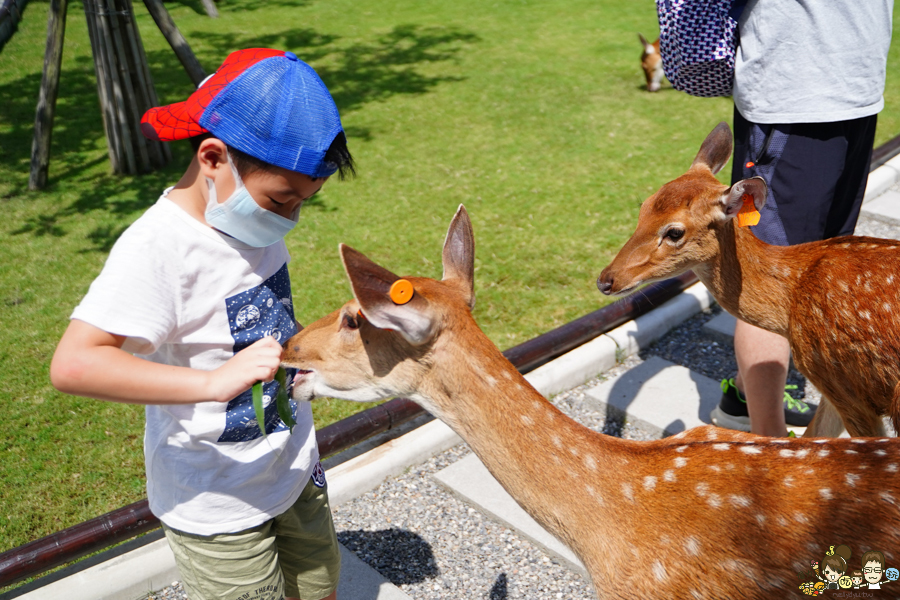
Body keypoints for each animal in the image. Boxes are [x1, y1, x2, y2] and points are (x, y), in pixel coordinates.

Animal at [596, 123, 900, 440]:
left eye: (675, 232)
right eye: (643, 208)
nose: (606, 280)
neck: (791, 305)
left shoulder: (843, 382)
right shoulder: (835, 388)